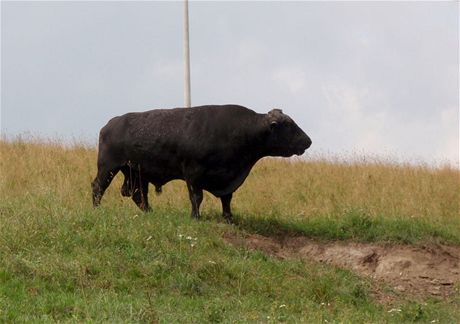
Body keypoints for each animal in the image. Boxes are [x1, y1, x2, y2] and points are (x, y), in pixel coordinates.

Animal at [91, 105, 310, 221]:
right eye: (288, 125)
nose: (308, 141)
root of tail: (110, 124)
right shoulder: (193, 174)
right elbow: (197, 197)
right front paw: (195, 217)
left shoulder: (227, 180)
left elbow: (227, 199)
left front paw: (228, 218)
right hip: (108, 168)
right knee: (98, 187)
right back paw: (97, 209)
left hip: (136, 173)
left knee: (138, 194)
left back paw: (150, 211)